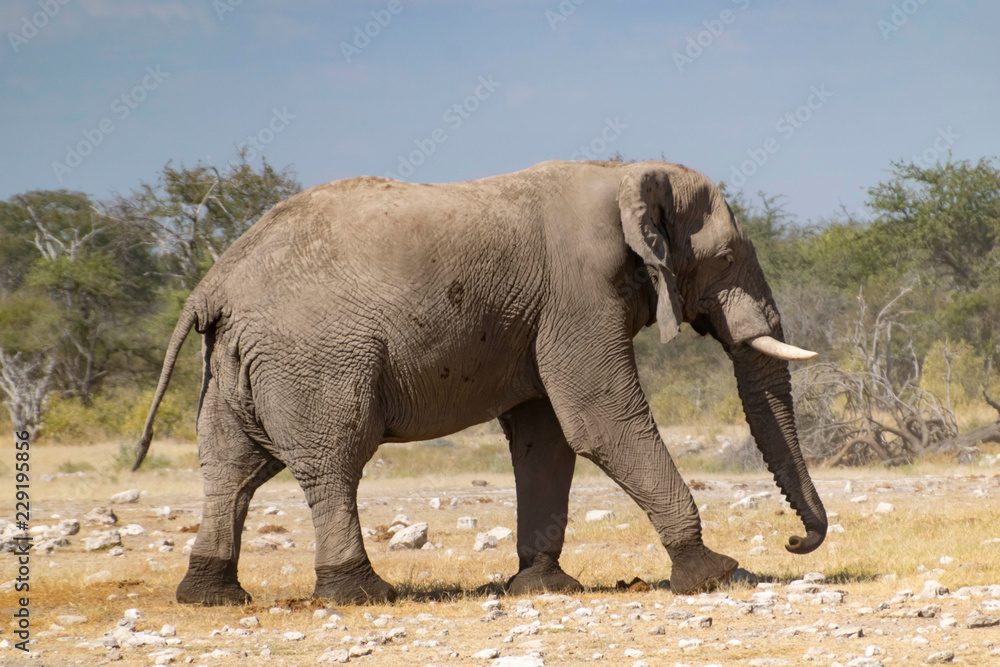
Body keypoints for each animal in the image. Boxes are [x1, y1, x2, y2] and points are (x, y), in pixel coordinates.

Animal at [135, 159, 827, 605]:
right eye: (726, 258)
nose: (796, 540)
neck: (623, 172)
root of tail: (214, 281)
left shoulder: (548, 310)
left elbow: (545, 439)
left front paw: (545, 587)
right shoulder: (577, 290)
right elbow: (599, 420)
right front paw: (718, 575)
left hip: (234, 362)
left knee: (232, 467)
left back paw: (210, 597)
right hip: (314, 356)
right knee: (332, 460)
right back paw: (359, 594)